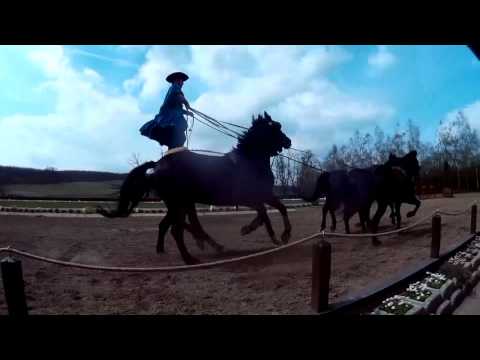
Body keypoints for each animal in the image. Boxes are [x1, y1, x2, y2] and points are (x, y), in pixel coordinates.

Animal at [99, 112, 290, 264]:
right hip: (179, 204)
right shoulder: (247, 198)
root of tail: (158, 166)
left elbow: (280, 208)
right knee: (176, 230)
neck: (248, 163)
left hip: (178, 205)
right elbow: (264, 213)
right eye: (275, 128)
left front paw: (281, 235)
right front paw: (272, 236)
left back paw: (167, 250)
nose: (288, 141)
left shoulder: (264, 195)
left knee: (167, 225)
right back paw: (190, 258)